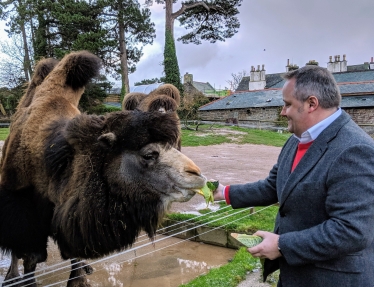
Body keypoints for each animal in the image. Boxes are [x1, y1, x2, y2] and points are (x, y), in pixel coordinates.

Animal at [0, 51, 205, 287]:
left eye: (173, 144)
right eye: (148, 154)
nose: (196, 174)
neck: (56, 163)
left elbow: (71, 251)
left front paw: (78, 279)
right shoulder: (22, 209)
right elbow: (30, 255)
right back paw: (11, 275)